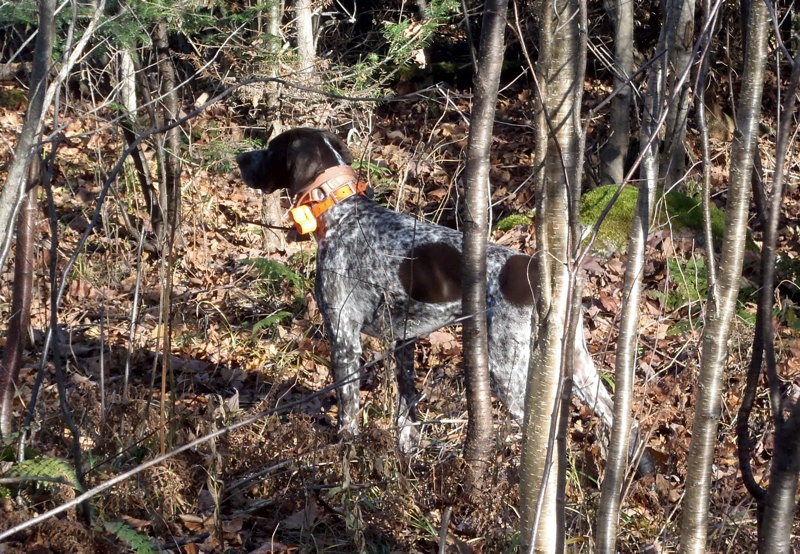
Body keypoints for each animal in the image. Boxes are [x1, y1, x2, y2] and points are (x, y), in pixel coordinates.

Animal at [238, 127, 632, 454]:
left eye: (271, 148)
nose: (240, 158)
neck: (343, 214)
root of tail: (533, 267)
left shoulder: (344, 336)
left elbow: (348, 410)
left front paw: (344, 453)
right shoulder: (404, 341)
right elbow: (406, 411)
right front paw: (407, 455)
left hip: (507, 367)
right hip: (578, 362)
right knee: (621, 421)